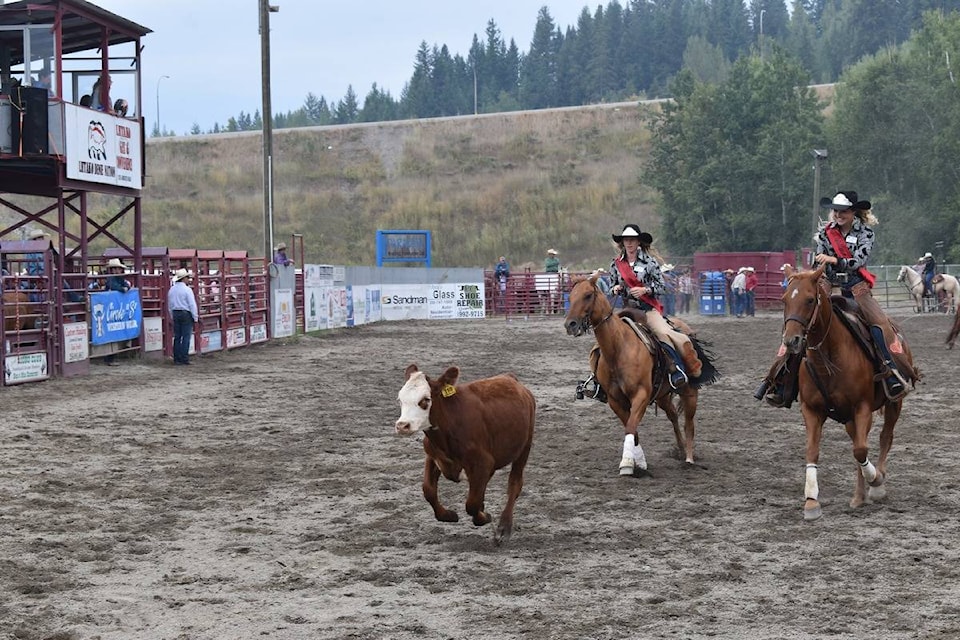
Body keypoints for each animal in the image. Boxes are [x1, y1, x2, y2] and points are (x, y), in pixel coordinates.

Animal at [394, 364, 536, 544]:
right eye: (400, 400)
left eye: (425, 400)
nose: (402, 425)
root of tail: (511, 378)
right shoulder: (433, 456)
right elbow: (428, 490)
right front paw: (449, 515)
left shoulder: (483, 462)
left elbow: (472, 503)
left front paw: (484, 517)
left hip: (525, 445)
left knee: (515, 484)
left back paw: (504, 528)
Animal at [568, 272, 716, 478]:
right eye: (570, 297)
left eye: (588, 295)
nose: (570, 325)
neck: (618, 349)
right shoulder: (615, 400)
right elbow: (632, 429)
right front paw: (640, 463)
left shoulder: (641, 396)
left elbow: (631, 426)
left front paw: (627, 463)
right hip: (662, 395)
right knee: (673, 416)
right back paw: (679, 450)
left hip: (689, 392)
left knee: (689, 423)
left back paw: (688, 458)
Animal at [776, 264, 912, 520]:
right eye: (784, 299)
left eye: (810, 299)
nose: (791, 341)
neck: (829, 359)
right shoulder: (811, 410)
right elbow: (813, 451)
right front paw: (811, 501)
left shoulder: (863, 408)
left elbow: (860, 450)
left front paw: (875, 480)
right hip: (850, 418)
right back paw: (859, 496)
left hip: (893, 403)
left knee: (884, 437)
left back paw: (875, 486)